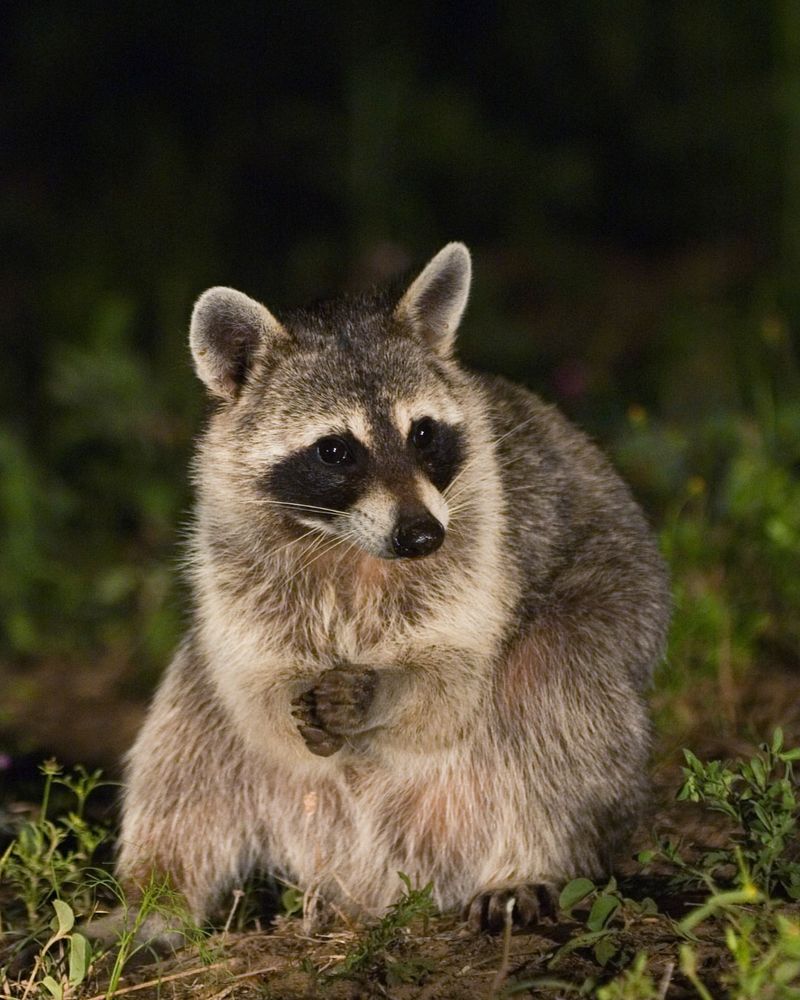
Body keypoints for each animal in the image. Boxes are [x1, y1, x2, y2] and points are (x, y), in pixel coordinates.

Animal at [118, 243, 670, 933]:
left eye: (423, 433)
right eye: (335, 451)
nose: (422, 535)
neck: (350, 548)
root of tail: (375, 882)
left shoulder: (484, 539)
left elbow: (452, 684)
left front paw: (384, 691)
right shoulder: (227, 547)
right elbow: (251, 692)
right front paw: (285, 698)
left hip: (595, 627)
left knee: (556, 694)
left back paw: (527, 858)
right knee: (187, 738)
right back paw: (153, 903)